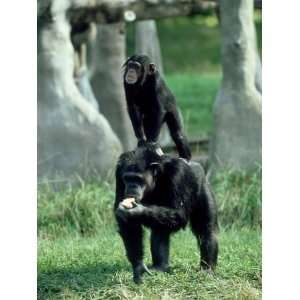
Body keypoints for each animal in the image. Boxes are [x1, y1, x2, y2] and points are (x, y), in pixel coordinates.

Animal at [114, 145, 218, 284]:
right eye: (127, 178)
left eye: (138, 179)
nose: (131, 186)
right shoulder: (118, 173)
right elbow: (128, 224)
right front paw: (138, 266)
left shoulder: (178, 174)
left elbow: (179, 214)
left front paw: (135, 211)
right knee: (160, 228)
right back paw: (160, 267)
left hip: (202, 184)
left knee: (207, 230)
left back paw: (207, 268)